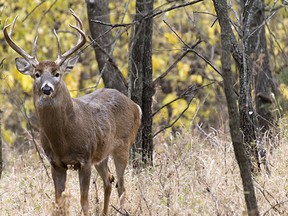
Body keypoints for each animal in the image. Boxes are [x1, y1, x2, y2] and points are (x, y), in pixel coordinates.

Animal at [3, 9, 141, 215]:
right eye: (37, 74)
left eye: (57, 73)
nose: (46, 89)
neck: (64, 139)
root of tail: (135, 106)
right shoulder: (56, 163)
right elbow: (58, 204)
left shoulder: (85, 159)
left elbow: (84, 202)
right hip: (101, 154)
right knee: (109, 181)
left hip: (123, 146)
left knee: (122, 186)